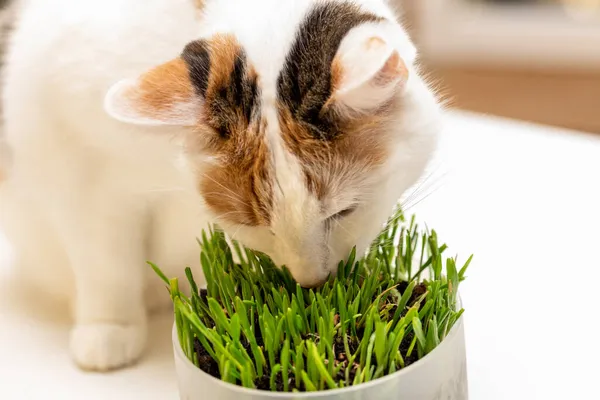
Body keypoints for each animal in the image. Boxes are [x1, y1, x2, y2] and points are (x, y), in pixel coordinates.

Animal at [0, 0, 440, 372]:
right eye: (254, 223)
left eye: (343, 210)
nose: (312, 281)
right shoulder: (74, 160)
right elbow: (105, 263)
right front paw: (109, 328)